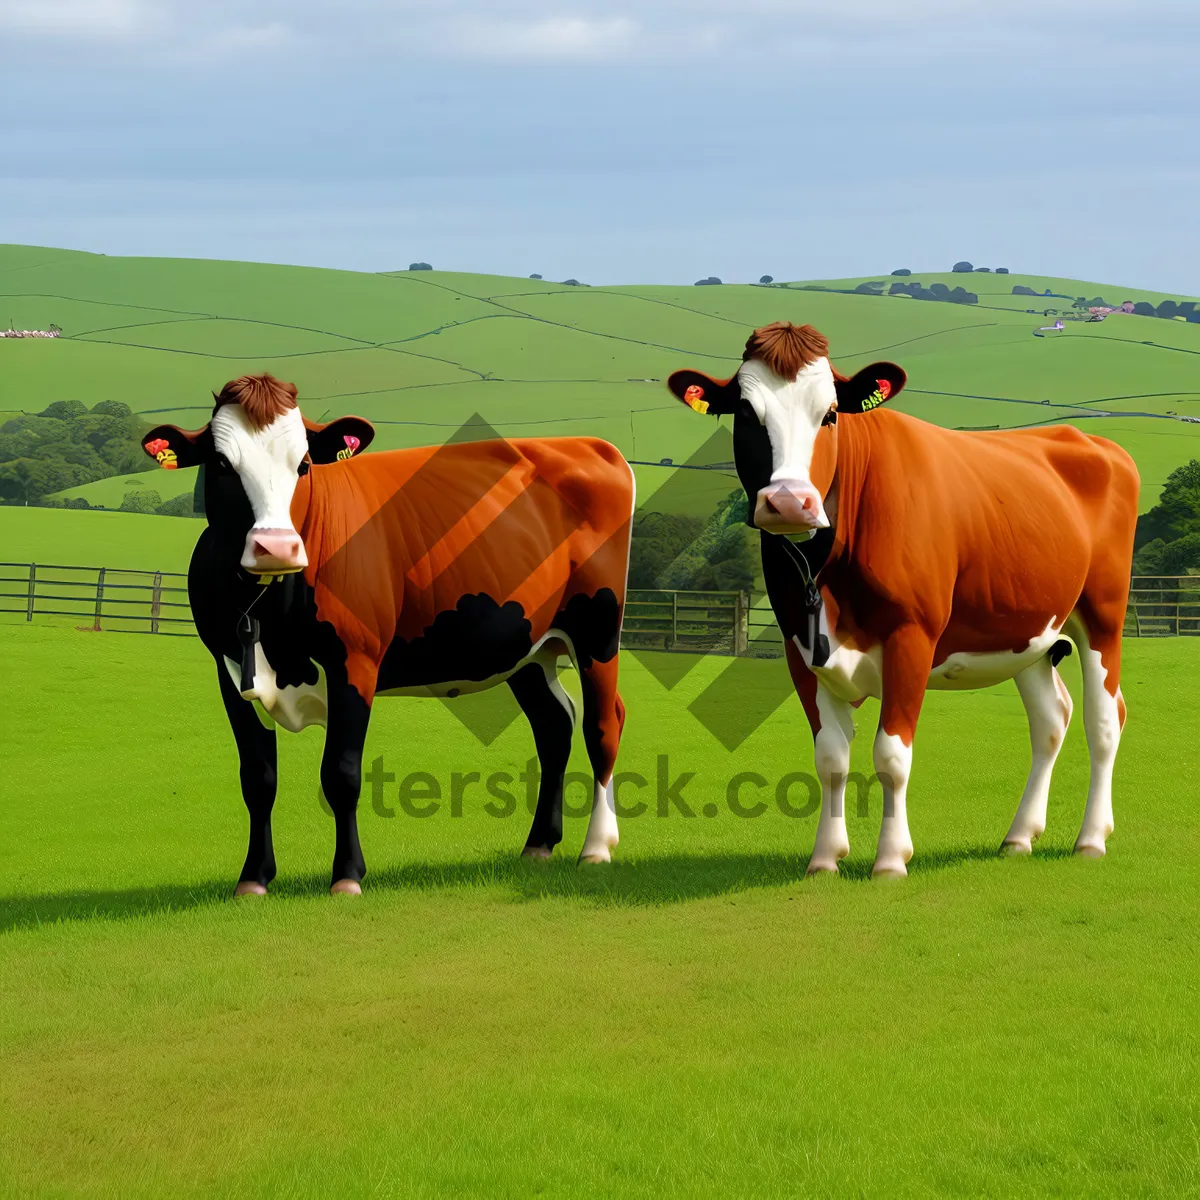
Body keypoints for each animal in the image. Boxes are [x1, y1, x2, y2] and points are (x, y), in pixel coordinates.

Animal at [144, 372, 633, 892]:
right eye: (220, 463)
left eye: (303, 464)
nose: (275, 547)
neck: (271, 612)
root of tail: (586, 444)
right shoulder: (230, 669)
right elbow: (257, 777)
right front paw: (254, 877)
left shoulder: (355, 662)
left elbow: (341, 774)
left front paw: (347, 875)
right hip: (527, 647)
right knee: (554, 725)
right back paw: (539, 844)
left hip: (598, 630)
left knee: (602, 725)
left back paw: (596, 848)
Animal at [672, 324, 1137, 878]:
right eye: (745, 414)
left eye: (830, 413)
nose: (787, 502)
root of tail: (1087, 438)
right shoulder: (798, 645)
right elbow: (830, 758)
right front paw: (825, 857)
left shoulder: (911, 637)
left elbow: (892, 756)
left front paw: (892, 858)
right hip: (1029, 634)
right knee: (1051, 719)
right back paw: (1019, 836)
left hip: (1102, 615)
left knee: (1104, 719)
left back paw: (1091, 838)